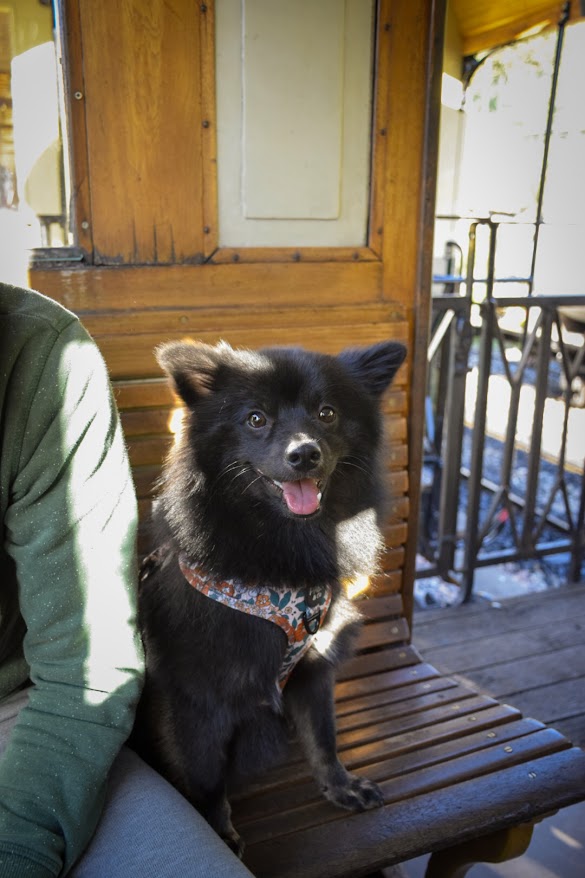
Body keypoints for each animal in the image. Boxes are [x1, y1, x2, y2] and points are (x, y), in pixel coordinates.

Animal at [134, 340, 404, 856]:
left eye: (327, 413)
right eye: (256, 419)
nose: (305, 454)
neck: (282, 554)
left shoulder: (315, 667)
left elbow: (324, 738)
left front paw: (340, 786)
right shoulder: (197, 698)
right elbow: (205, 777)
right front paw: (217, 832)